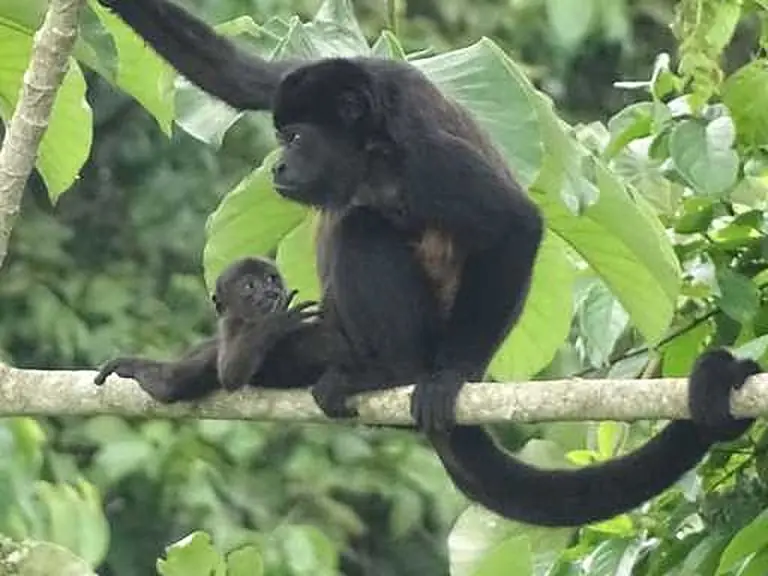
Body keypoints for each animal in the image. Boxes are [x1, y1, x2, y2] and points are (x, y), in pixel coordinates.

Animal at [94, 257, 330, 402]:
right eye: (250, 285)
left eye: (271, 279)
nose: (272, 292)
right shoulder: (228, 326)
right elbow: (230, 375)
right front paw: (277, 321)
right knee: (170, 385)